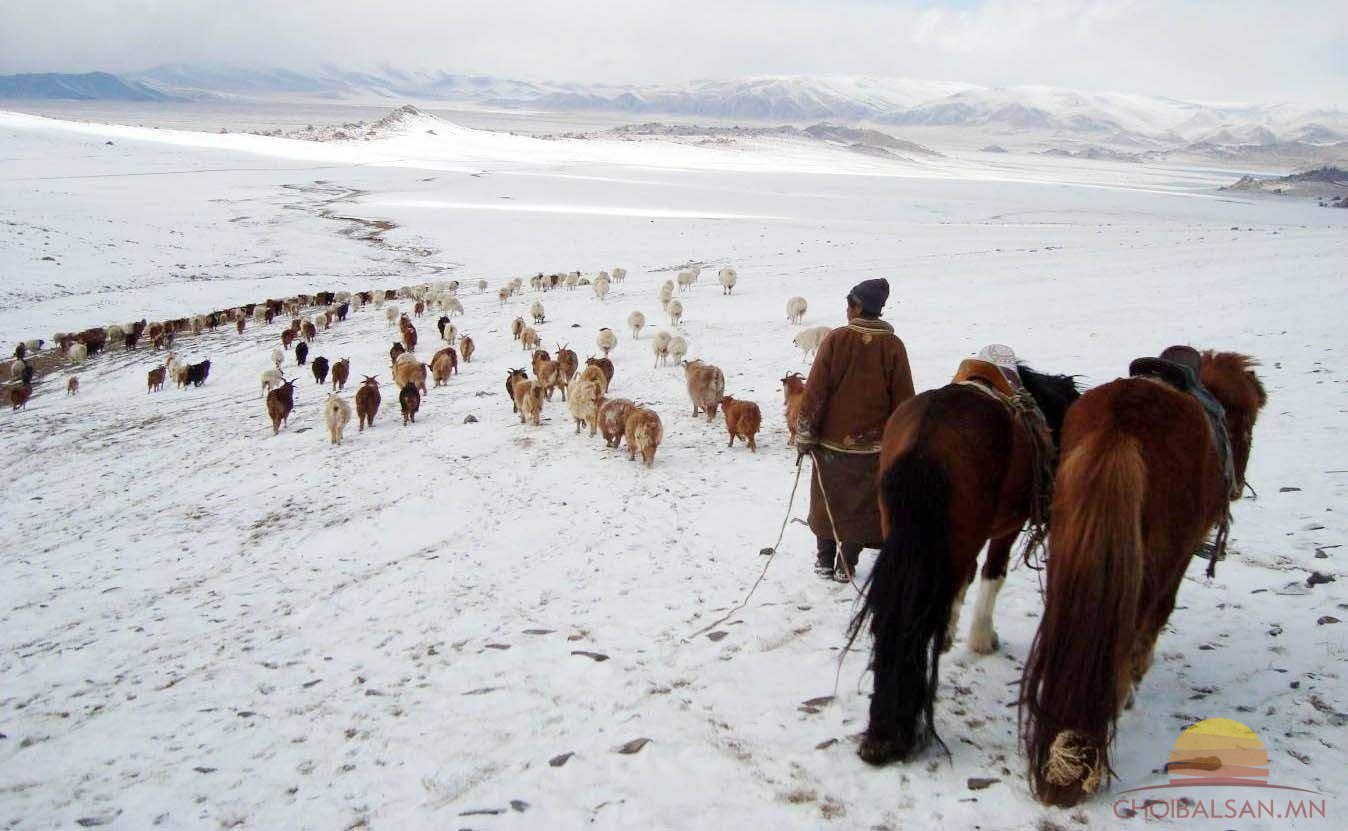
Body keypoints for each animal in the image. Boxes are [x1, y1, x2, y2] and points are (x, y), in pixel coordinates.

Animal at [846, 361, 1078, 760]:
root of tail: (926, 441)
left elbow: (963, 581)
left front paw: (951, 631)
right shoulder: (1005, 526)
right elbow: (991, 574)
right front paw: (982, 638)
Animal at [1019, 350, 1261, 804]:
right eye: (1250, 423)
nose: (1236, 488)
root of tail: (1122, 426)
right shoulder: (1178, 558)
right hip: (1155, 559)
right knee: (1134, 623)